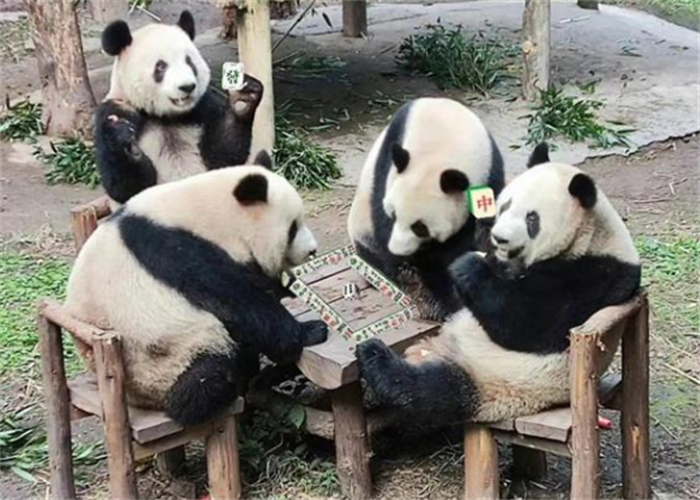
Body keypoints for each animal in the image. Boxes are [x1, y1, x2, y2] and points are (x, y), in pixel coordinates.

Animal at [64, 152, 328, 426]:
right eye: (293, 228)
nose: (312, 250)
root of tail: (143, 402)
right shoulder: (177, 250)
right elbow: (237, 302)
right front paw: (310, 331)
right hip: (162, 358)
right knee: (207, 377)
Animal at [95, 10, 264, 205]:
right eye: (161, 66)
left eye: (189, 62)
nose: (187, 86)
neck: (165, 115)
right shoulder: (115, 109)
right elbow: (125, 187)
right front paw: (124, 142)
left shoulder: (203, 106)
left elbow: (223, 157)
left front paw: (243, 100)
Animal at [348, 98, 505, 321]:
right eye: (393, 215)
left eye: (420, 227)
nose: (397, 250)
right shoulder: (388, 162)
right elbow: (379, 211)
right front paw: (406, 269)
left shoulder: (490, 173)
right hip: (361, 229)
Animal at [355, 144, 641, 428]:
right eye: (505, 206)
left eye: (531, 219)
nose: (499, 238)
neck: (590, 235)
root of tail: (442, 353)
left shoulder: (593, 277)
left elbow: (523, 323)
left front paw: (468, 266)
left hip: (496, 384)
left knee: (431, 390)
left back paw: (375, 357)